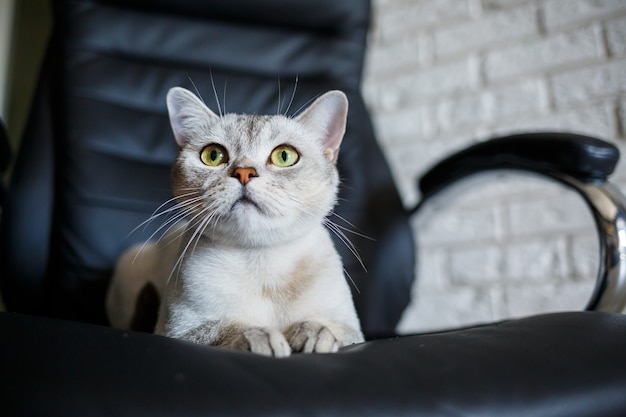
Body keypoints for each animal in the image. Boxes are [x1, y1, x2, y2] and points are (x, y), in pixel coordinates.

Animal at [105, 86, 364, 356]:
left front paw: (313, 333)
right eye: (213, 155)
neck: (262, 261)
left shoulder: (353, 328)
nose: (244, 173)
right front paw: (264, 338)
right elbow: (228, 327)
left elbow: (333, 328)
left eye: (284, 156)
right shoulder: (178, 331)